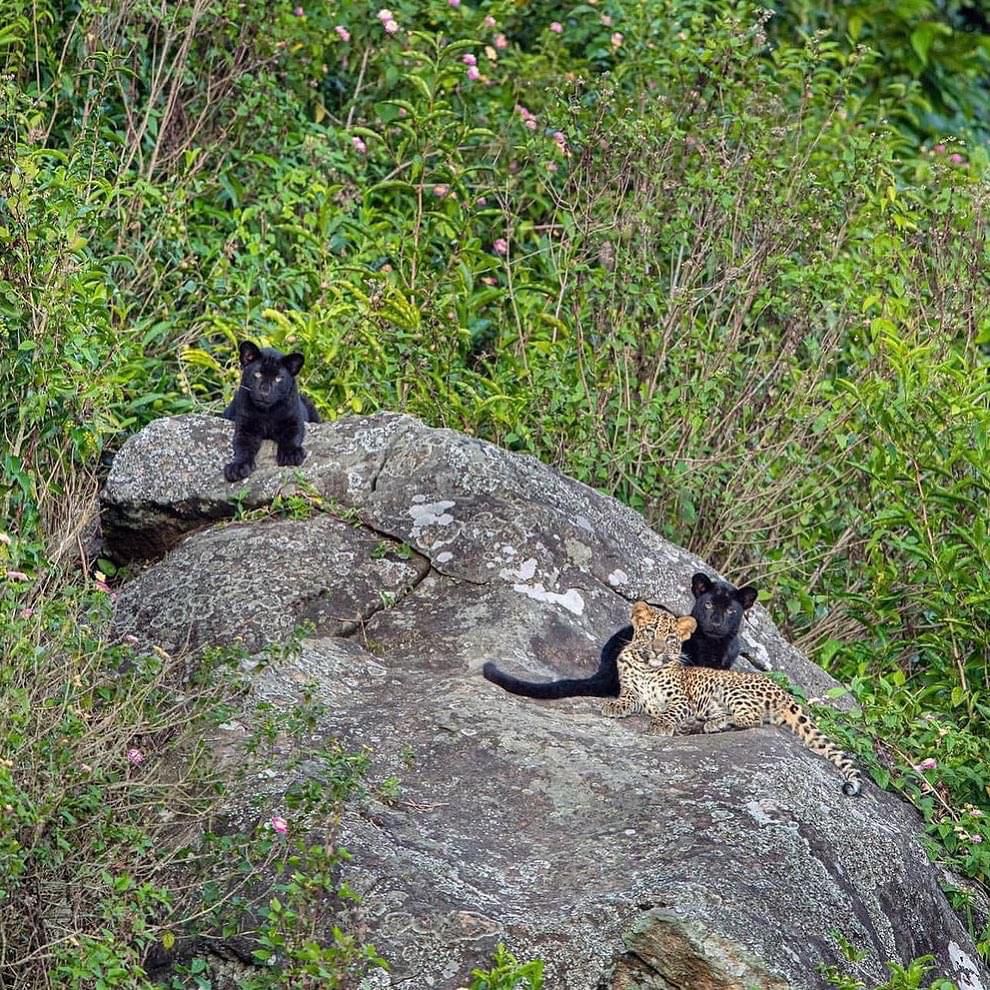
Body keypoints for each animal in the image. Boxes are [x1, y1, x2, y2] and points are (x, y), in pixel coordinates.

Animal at [604, 601, 862, 796]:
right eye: (650, 632)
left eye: (670, 639)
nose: (658, 650)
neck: (646, 668)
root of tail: (783, 691)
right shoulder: (633, 690)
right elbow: (627, 698)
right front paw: (615, 706)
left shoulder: (682, 699)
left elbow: (671, 711)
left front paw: (661, 724)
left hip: (730, 690)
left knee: (752, 718)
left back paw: (710, 724)